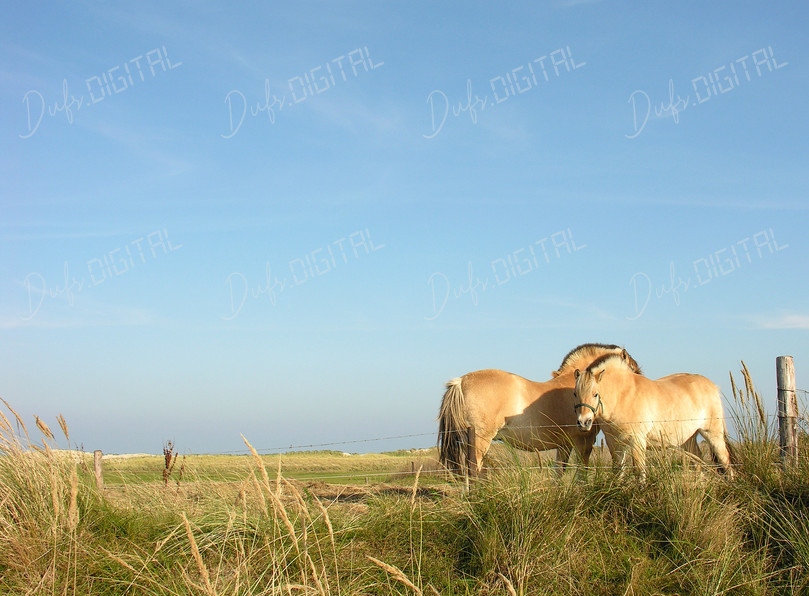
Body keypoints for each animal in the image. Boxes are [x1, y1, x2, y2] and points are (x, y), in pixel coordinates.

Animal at [437, 343, 642, 476]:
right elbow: (582, 472)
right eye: (633, 369)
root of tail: (461, 381)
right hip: (479, 440)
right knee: (472, 469)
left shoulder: (564, 445)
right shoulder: (583, 441)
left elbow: (559, 472)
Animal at [573, 351, 733, 479]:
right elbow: (618, 471)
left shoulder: (637, 441)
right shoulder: (614, 442)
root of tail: (713, 386)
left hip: (713, 434)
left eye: (595, 394)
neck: (623, 396)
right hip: (688, 439)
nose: (583, 422)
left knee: (725, 462)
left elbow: (639, 471)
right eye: (575, 394)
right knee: (698, 460)